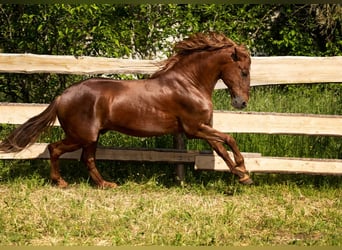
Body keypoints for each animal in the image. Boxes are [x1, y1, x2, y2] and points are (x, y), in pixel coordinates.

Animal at [0, 32, 251, 188]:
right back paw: (61, 182)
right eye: (244, 71)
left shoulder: (203, 128)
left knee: (87, 159)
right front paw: (242, 169)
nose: (241, 103)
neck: (189, 83)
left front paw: (242, 175)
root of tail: (62, 96)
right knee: (55, 148)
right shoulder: (194, 128)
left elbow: (221, 148)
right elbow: (229, 139)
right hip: (82, 135)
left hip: (91, 137)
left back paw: (106, 184)